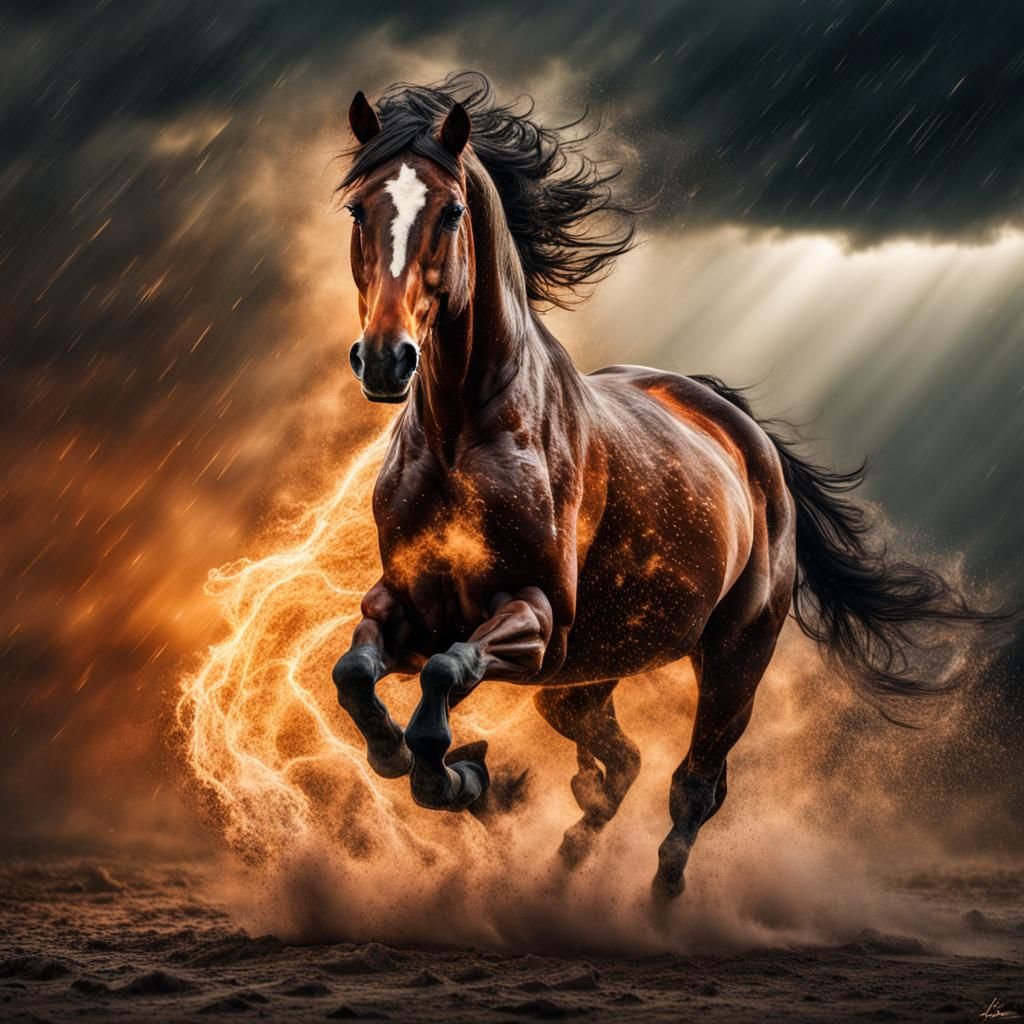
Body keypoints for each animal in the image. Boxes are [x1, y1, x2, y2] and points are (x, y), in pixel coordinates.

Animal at [331, 72, 998, 900]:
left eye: (450, 209)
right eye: (358, 207)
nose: (385, 359)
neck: (463, 433)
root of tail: (746, 435)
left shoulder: (536, 618)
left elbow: (446, 677)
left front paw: (458, 774)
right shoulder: (408, 606)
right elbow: (356, 675)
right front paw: (450, 771)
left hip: (733, 659)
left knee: (694, 784)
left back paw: (659, 898)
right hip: (583, 681)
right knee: (619, 766)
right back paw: (557, 865)